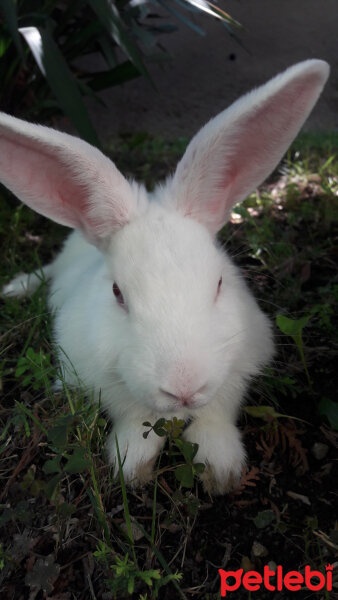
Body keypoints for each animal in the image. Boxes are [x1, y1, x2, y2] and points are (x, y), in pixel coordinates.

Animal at [0, 59, 328, 492]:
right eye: (118, 293)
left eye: (219, 284)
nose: (184, 388)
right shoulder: (91, 371)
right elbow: (132, 414)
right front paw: (131, 468)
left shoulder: (241, 364)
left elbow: (217, 411)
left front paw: (220, 471)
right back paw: (15, 287)